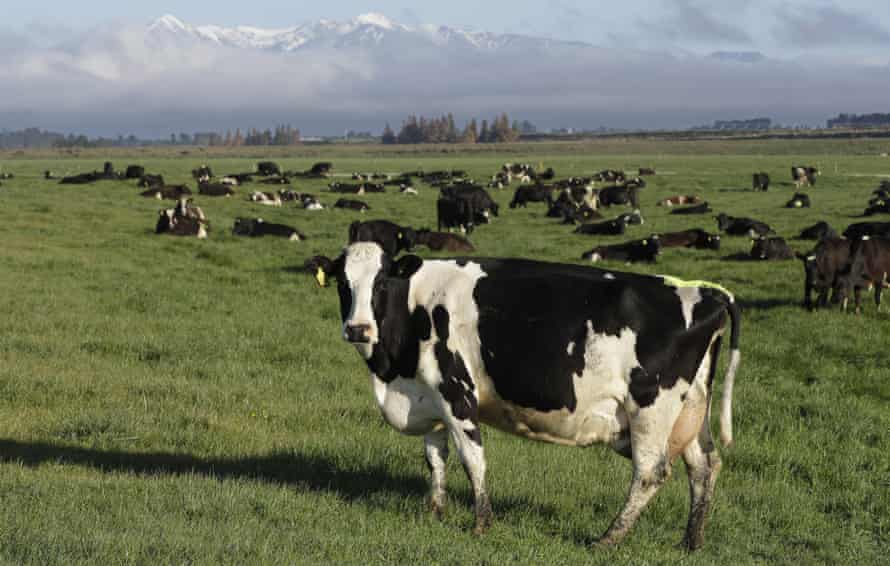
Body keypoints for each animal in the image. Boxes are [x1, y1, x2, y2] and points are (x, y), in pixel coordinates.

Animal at [306, 243, 744, 552]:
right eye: (344, 284)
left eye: (380, 283)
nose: (358, 329)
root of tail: (707, 292)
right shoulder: (428, 395)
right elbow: (435, 458)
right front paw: (435, 511)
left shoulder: (456, 391)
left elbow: (472, 459)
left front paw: (481, 524)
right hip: (690, 408)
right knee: (704, 466)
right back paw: (691, 541)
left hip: (652, 406)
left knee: (651, 472)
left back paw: (608, 539)